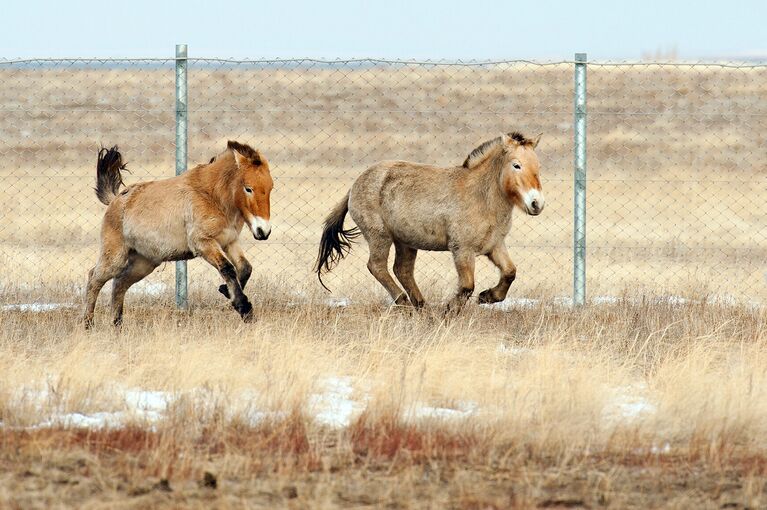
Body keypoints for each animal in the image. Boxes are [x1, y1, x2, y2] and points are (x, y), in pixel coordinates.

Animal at [83, 139, 272, 326]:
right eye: (248, 188)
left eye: (270, 188)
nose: (263, 231)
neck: (212, 196)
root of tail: (115, 200)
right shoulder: (203, 243)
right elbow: (228, 268)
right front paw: (244, 308)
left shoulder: (229, 241)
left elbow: (245, 268)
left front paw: (227, 292)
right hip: (114, 258)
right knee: (94, 278)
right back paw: (88, 323)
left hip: (144, 263)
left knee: (119, 284)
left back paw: (117, 325)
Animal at [316, 131, 544, 308]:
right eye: (516, 165)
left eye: (538, 166)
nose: (537, 204)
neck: (481, 197)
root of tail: (354, 186)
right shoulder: (462, 250)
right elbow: (467, 286)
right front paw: (450, 309)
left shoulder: (495, 246)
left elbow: (510, 272)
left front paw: (487, 296)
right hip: (379, 236)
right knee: (377, 267)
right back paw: (405, 303)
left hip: (405, 242)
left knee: (402, 270)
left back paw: (421, 306)